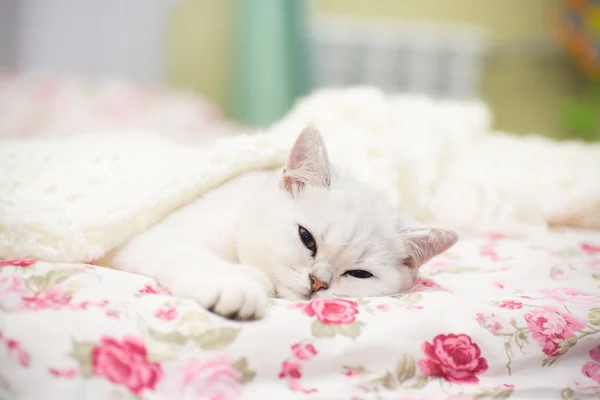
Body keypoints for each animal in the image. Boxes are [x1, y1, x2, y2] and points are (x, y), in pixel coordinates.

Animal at [108, 129, 458, 322]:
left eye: (359, 274)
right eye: (307, 239)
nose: (318, 283)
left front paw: (252, 278)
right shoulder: (146, 238)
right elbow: (192, 256)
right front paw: (233, 286)